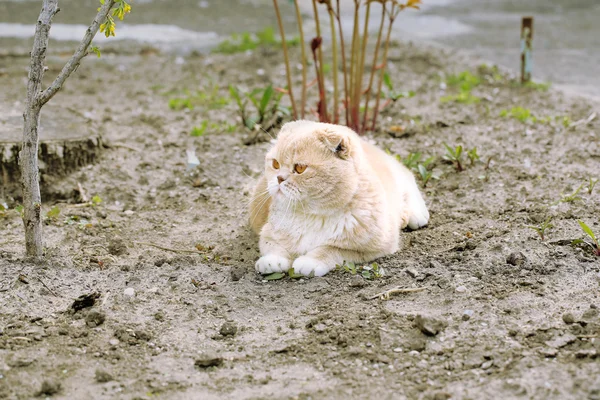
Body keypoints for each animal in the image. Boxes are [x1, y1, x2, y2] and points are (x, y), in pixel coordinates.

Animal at [250, 120, 432, 276]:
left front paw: (310, 261)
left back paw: (416, 214)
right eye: (275, 164)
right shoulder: (267, 233)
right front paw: (272, 260)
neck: (312, 215)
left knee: (408, 179)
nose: (279, 178)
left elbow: (330, 249)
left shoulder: (369, 248)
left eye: (300, 168)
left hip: (398, 174)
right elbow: (273, 246)